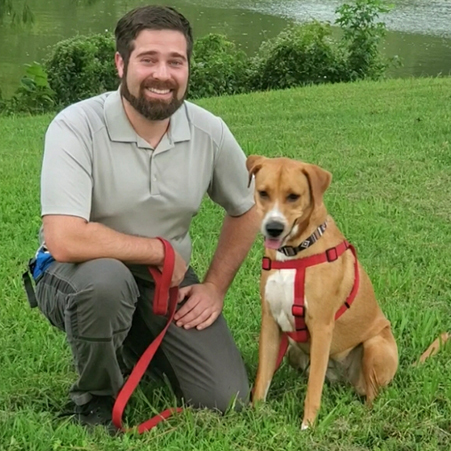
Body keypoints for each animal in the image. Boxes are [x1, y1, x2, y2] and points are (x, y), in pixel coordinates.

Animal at [247, 155, 400, 430]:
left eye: (293, 196)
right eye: (263, 193)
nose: (273, 228)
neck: (294, 254)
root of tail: (344, 379)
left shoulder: (320, 327)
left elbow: (313, 388)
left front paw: (307, 427)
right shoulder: (270, 322)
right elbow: (262, 377)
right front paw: (257, 414)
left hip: (375, 346)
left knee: (371, 396)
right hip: (294, 351)